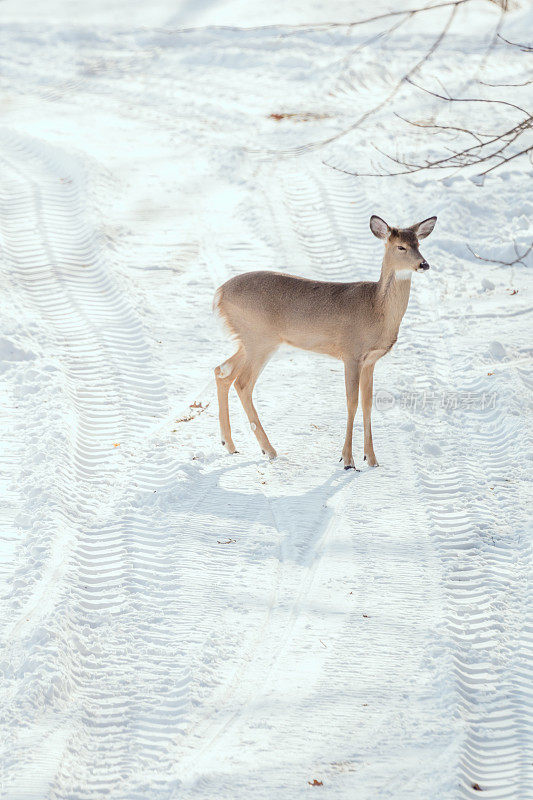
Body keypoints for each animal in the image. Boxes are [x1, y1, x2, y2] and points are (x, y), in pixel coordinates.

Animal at [213, 212, 436, 468]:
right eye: (401, 246)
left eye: (418, 244)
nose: (424, 264)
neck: (376, 309)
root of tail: (219, 294)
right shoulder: (350, 353)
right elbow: (352, 402)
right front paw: (348, 460)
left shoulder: (370, 360)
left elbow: (368, 403)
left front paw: (371, 459)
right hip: (259, 339)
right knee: (242, 383)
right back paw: (268, 450)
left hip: (248, 341)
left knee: (222, 371)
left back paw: (229, 444)